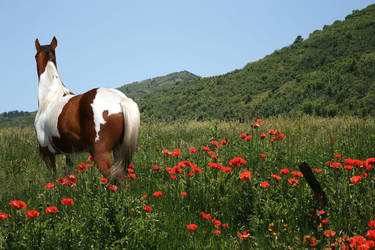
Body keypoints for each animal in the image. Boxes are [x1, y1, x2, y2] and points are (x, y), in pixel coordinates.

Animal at [34, 37, 140, 181]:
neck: (50, 97)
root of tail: (121, 100)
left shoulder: (46, 153)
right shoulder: (70, 153)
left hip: (100, 154)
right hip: (118, 150)